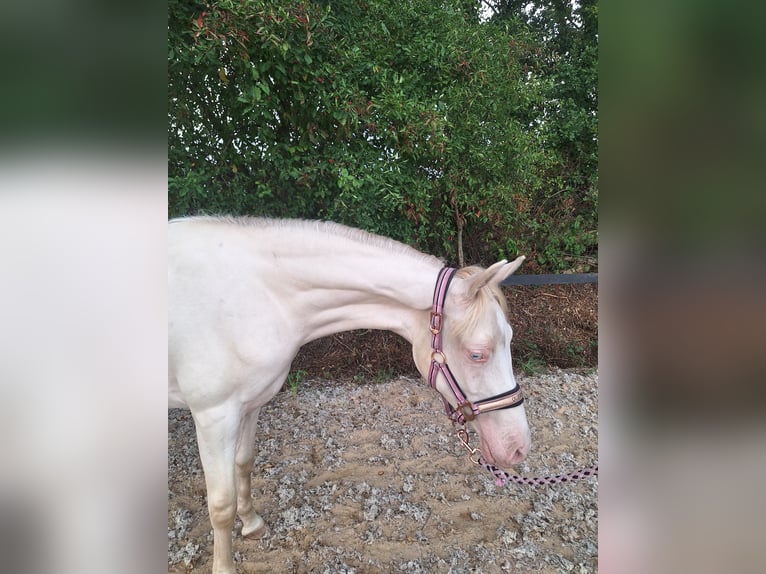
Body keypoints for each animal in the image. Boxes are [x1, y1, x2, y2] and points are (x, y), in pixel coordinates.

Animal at [168, 216, 531, 574]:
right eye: (477, 354)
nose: (518, 447)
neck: (258, 295)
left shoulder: (249, 405)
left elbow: (244, 463)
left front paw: (252, 522)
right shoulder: (214, 415)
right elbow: (221, 504)